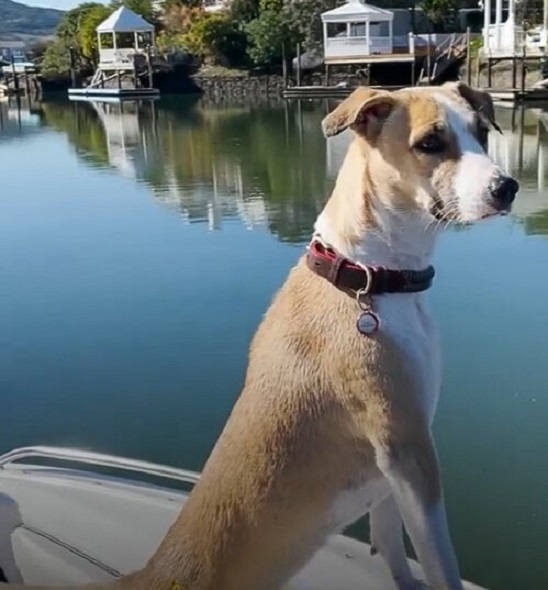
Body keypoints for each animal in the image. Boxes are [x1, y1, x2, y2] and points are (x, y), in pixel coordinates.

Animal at [2, 81, 520, 588]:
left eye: (482, 132)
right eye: (429, 143)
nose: (508, 187)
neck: (365, 274)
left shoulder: (389, 470)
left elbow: (390, 540)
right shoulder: (408, 449)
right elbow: (439, 562)